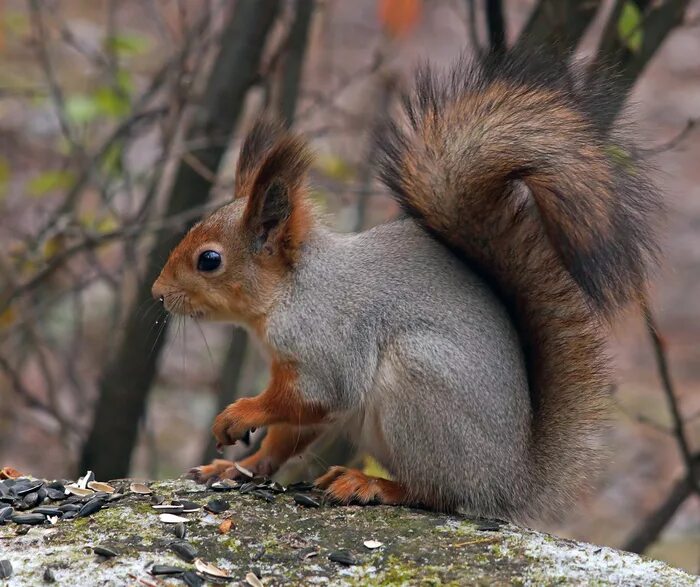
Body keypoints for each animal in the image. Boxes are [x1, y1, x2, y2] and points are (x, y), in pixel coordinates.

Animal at [152, 51, 660, 520]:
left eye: (209, 260)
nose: (157, 293)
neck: (293, 290)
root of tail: (508, 482)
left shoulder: (326, 346)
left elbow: (309, 396)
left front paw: (238, 413)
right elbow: (291, 431)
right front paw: (237, 467)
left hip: (419, 382)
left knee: (439, 494)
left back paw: (372, 484)